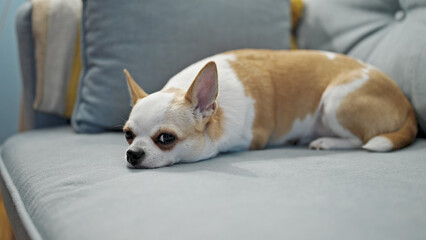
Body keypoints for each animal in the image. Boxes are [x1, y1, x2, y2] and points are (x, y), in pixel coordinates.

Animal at [122, 49, 416, 168]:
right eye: (128, 135)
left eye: (166, 138)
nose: (132, 154)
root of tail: (407, 105)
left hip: (334, 101)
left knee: (361, 139)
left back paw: (325, 142)